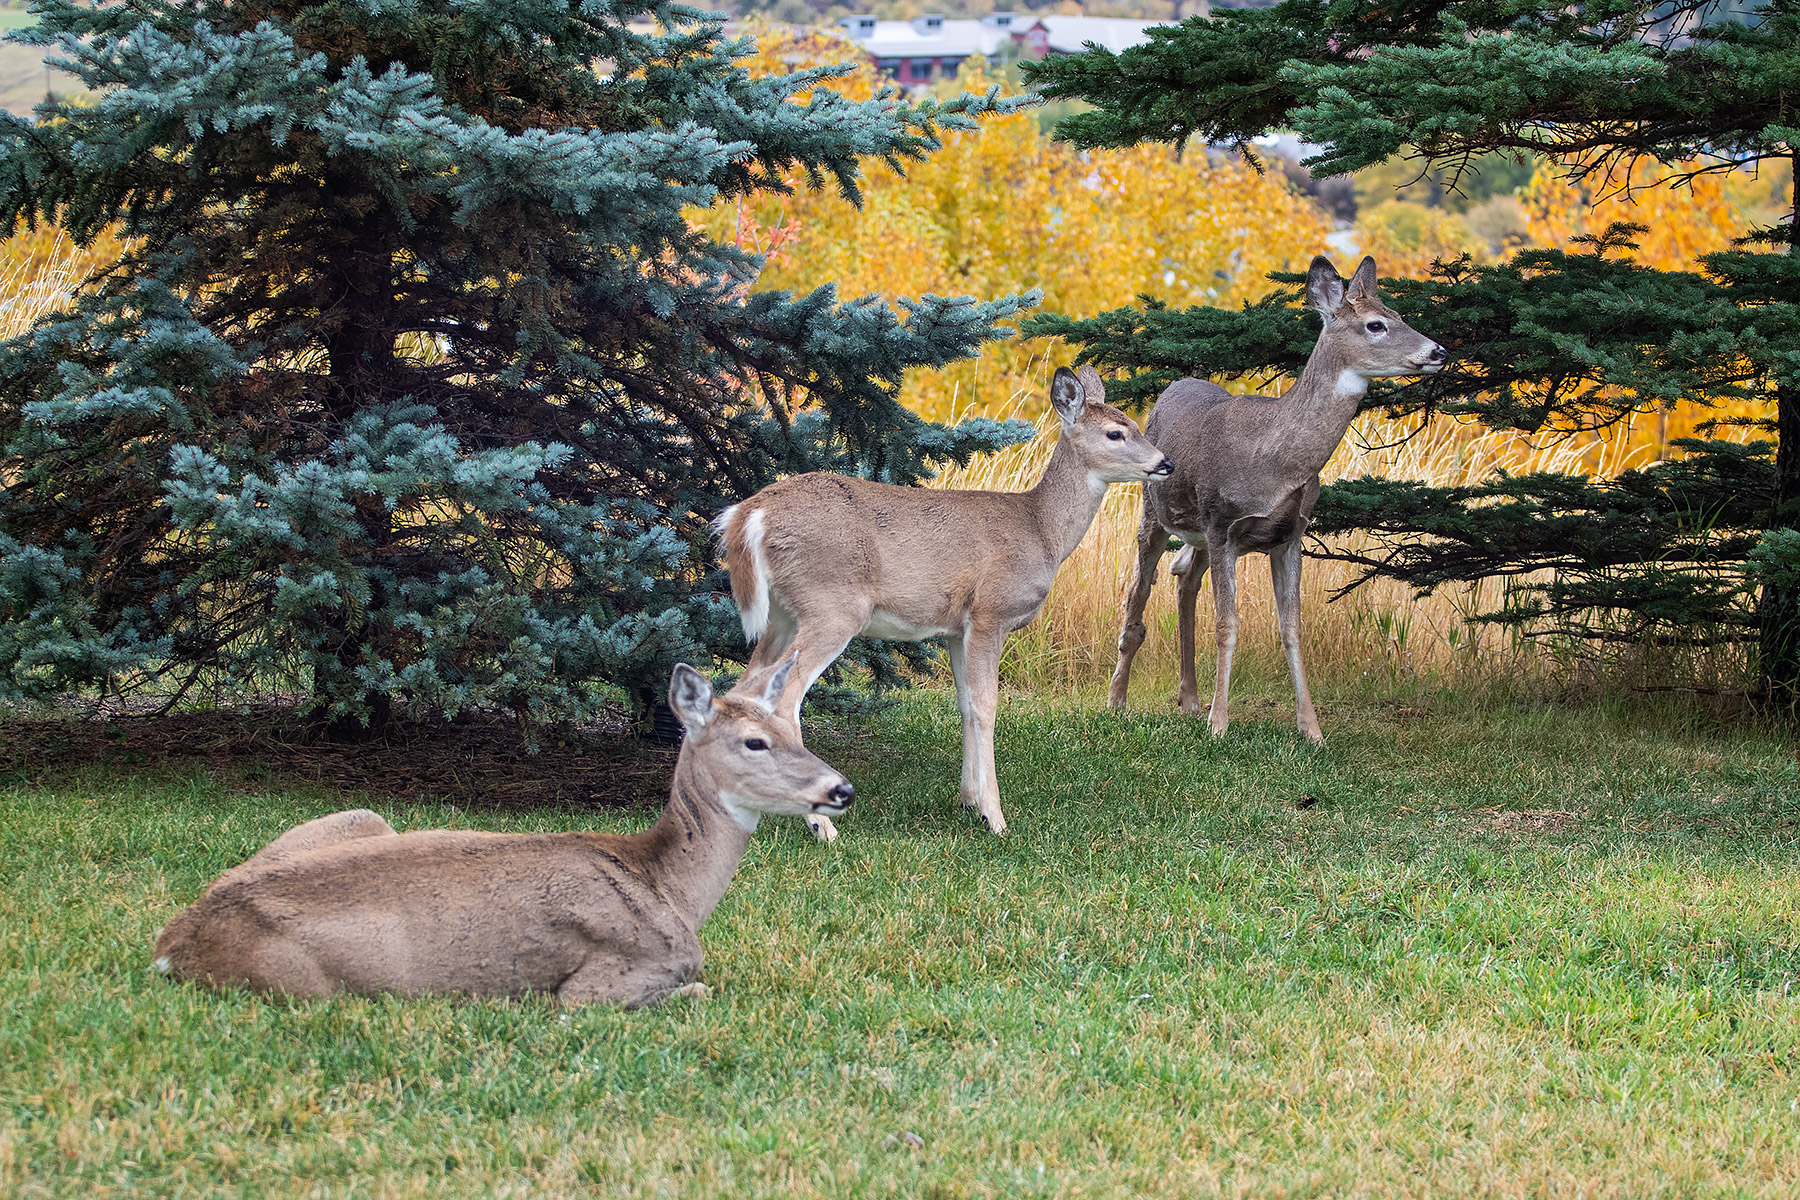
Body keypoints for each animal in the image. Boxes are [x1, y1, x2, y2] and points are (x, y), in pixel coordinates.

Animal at [151, 656, 854, 1008]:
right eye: (755, 741)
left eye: (793, 728)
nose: (839, 789)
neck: (670, 887)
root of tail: (173, 945)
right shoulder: (605, 983)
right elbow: (695, 989)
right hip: (314, 988)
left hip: (361, 820)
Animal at [714, 365, 1173, 841]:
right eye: (1116, 432)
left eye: (1137, 425)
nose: (1165, 463)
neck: (1042, 530)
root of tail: (749, 513)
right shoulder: (991, 611)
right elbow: (987, 706)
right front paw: (996, 817)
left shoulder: (957, 628)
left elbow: (966, 704)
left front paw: (969, 800)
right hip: (833, 604)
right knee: (786, 698)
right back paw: (822, 825)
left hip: (784, 611)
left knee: (745, 688)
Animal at [1107, 255, 1446, 743]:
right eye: (1376, 324)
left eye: (1401, 315)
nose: (1439, 351)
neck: (1273, 461)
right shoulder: (1223, 524)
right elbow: (1227, 626)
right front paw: (1219, 725)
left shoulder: (1290, 533)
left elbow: (1292, 628)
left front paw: (1312, 730)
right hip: (1156, 512)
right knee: (1138, 589)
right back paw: (1117, 699)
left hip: (1200, 534)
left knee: (1184, 577)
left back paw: (1189, 699)